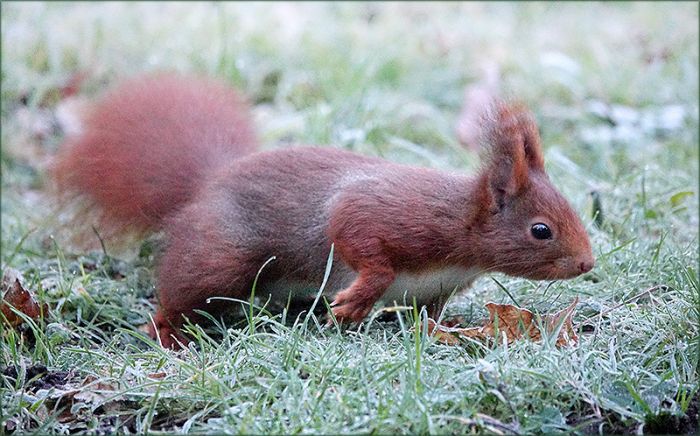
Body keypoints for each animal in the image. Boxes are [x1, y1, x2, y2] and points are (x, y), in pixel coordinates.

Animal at [51, 73, 594, 348]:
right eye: (541, 230)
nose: (588, 263)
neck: (463, 241)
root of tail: (203, 188)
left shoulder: (436, 288)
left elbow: (430, 317)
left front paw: (448, 332)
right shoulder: (388, 213)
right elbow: (355, 234)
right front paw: (355, 302)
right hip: (223, 256)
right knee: (182, 290)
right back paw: (169, 334)